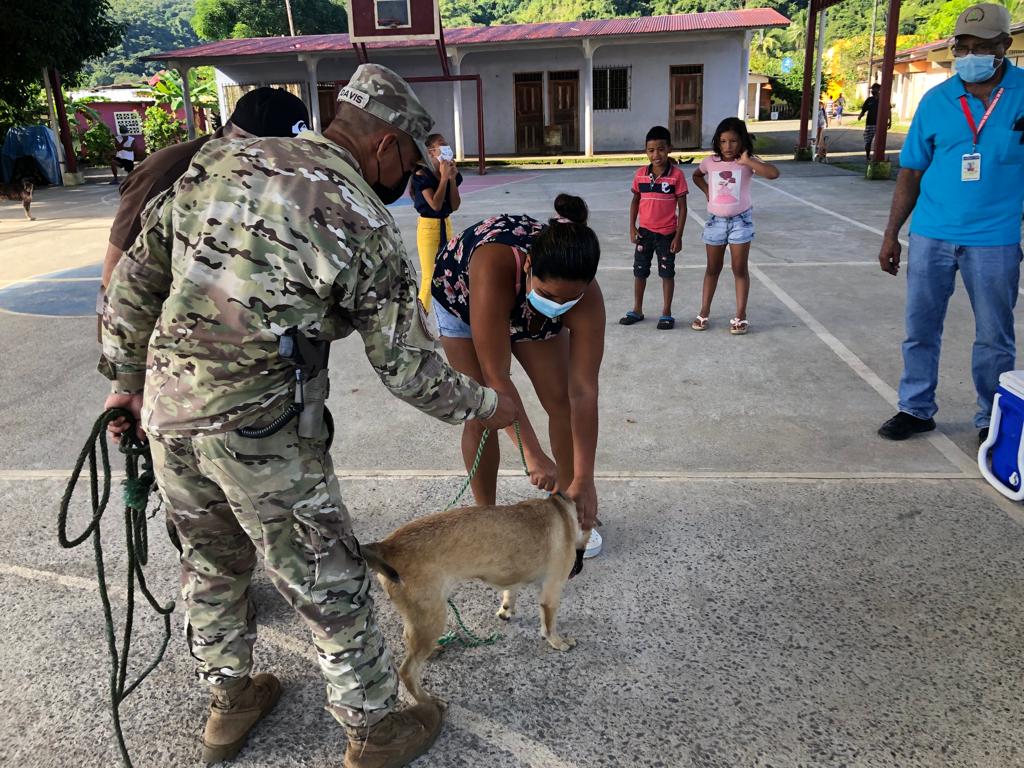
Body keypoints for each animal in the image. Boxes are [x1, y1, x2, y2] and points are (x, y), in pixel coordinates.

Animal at [362, 494, 590, 704]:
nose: (577, 570)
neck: (563, 509)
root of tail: (385, 546)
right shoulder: (551, 592)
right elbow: (550, 625)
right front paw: (558, 642)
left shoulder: (513, 579)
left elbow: (510, 592)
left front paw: (506, 609)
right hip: (432, 618)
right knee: (407, 671)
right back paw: (428, 700)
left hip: (420, 619)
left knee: (407, 639)